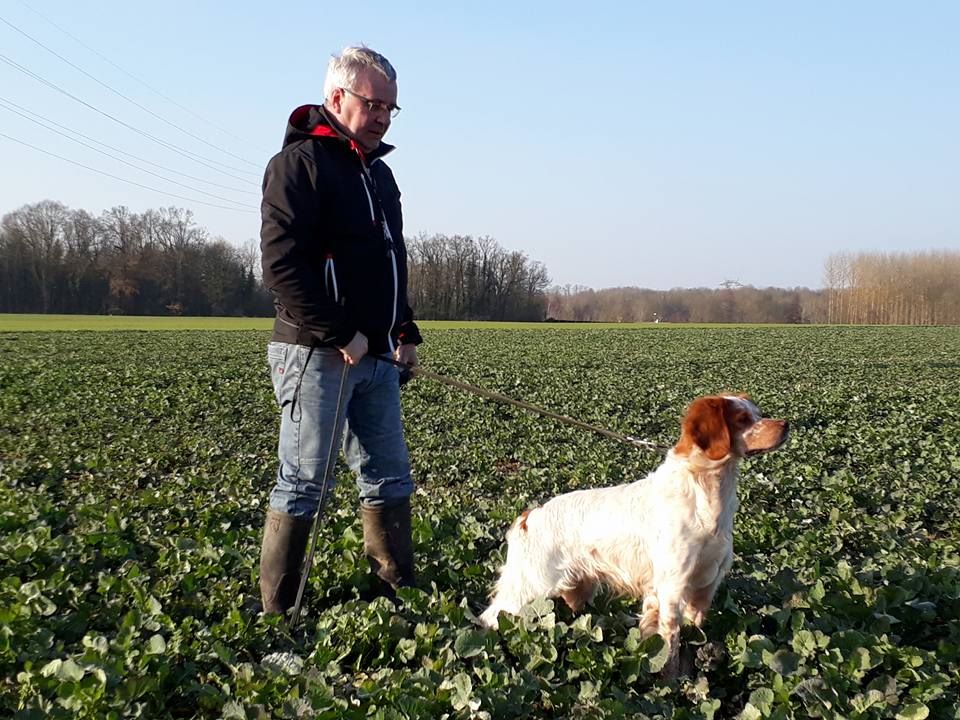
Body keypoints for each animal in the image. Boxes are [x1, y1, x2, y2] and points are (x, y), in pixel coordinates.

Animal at [478, 394, 788, 668]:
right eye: (742, 419)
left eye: (758, 413)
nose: (786, 425)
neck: (706, 491)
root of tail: (529, 516)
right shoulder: (671, 587)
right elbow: (670, 643)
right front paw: (670, 685)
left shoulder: (704, 587)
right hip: (531, 585)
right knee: (493, 616)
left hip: (577, 588)